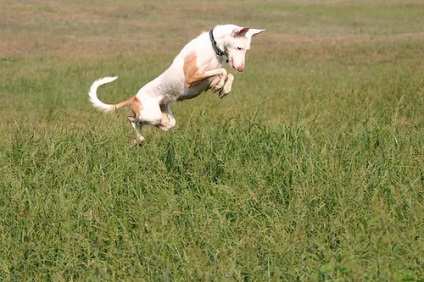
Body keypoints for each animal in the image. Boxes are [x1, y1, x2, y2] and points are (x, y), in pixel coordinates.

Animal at [88, 24, 264, 145]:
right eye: (239, 47)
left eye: (246, 49)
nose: (241, 68)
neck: (213, 46)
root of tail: (136, 97)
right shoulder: (191, 78)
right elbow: (222, 71)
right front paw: (221, 85)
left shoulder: (206, 81)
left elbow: (227, 74)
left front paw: (223, 88)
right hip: (152, 115)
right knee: (131, 118)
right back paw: (137, 138)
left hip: (166, 120)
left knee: (146, 124)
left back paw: (138, 141)